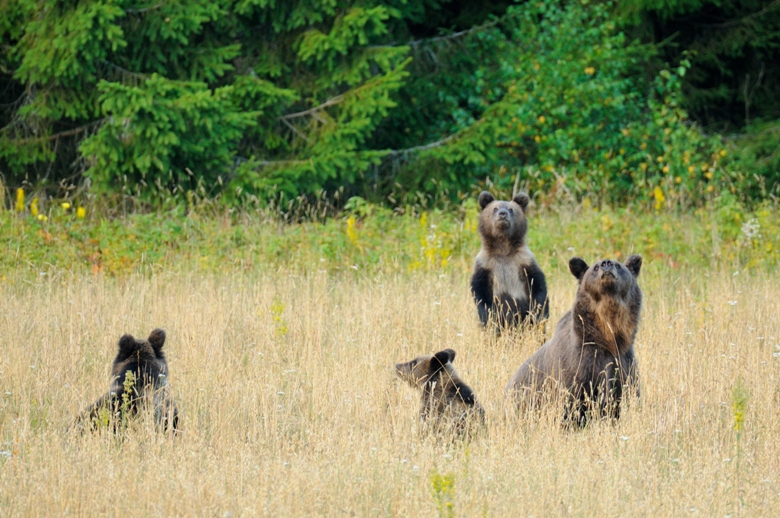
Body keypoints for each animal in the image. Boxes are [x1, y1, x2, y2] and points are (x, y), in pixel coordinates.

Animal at [506, 256, 640, 426]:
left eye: (618, 265)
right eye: (595, 267)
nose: (606, 263)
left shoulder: (623, 364)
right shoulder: (578, 365)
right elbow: (570, 404)